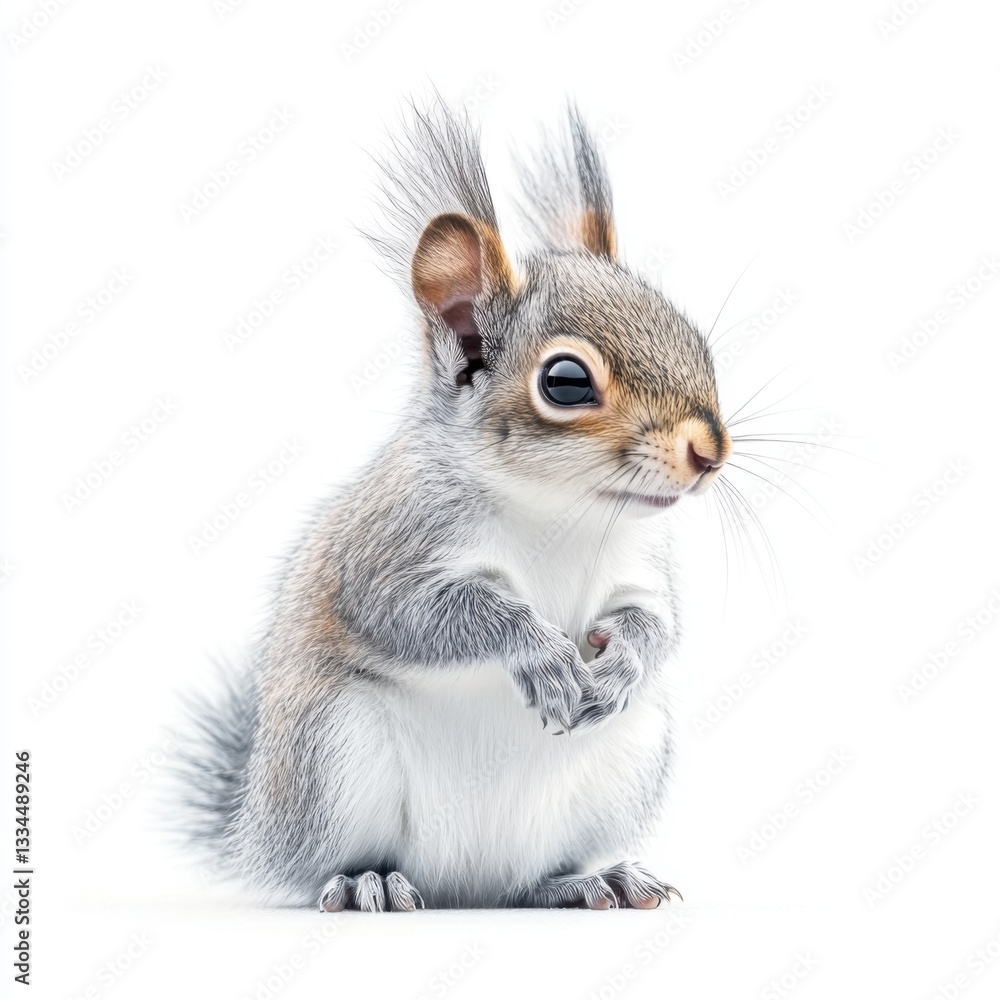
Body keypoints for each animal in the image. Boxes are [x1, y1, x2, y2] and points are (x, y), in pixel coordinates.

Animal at [176, 101, 733, 912]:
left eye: (696, 342)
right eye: (567, 381)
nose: (710, 451)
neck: (558, 512)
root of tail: (465, 884)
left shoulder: (642, 568)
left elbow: (657, 624)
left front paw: (622, 663)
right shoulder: (386, 549)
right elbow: (425, 616)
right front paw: (538, 653)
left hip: (628, 757)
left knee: (529, 882)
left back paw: (593, 878)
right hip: (332, 753)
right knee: (336, 863)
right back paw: (367, 881)